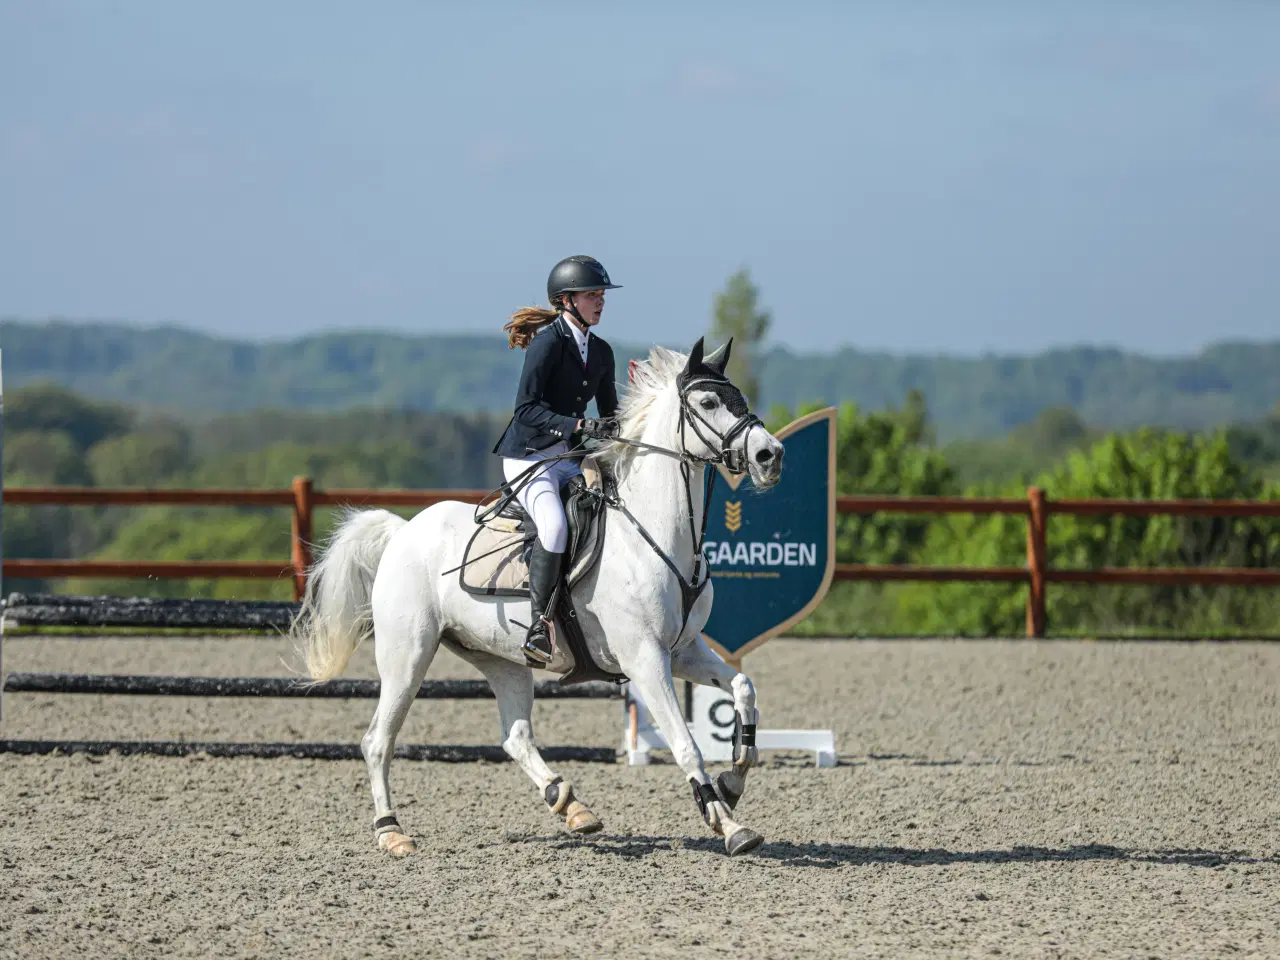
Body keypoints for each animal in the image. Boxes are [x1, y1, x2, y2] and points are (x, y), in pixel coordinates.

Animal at [293, 335, 783, 855]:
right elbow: (686, 744)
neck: (655, 533)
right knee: (378, 740)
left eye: (740, 399)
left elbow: (742, 688)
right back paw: (392, 831)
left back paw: (570, 804)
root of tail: (402, 531)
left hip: (501, 659)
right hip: (408, 655)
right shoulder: (645, 659)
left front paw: (734, 780)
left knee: (515, 736)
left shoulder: (684, 650)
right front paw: (728, 824)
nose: (771, 455)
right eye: (708, 403)